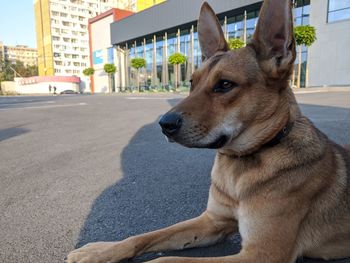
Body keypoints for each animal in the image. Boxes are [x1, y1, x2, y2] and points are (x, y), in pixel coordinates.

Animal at [66, 0, 350, 262]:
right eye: (192, 83)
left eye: (225, 85)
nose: (164, 124)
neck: (242, 162)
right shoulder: (212, 222)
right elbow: (146, 236)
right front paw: (100, 250)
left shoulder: (262, 254)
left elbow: (167, 259)